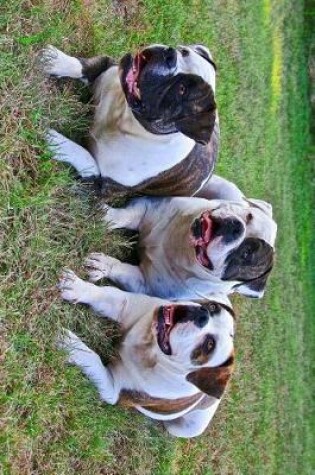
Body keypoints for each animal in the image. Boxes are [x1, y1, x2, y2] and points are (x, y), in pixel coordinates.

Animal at [40, 43, 220, 198]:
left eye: (182, 90)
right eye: (184, 52)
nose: (170, 56)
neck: (125, 116)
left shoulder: (102, 188)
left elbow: (86, 157)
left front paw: (54, 140)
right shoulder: (107, 66)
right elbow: (83, 66)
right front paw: (54, 60)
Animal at [57, 272, 235, 438]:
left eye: (209, 345)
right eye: (213, 307)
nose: (203, 315)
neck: (150, 346)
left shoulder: (112, 388)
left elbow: (93, 360)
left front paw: (70, 344)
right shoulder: (125, 303)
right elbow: (100, 293)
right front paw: (75, 286)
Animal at [85, 177, 278, 300]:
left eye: (245, 255)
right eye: (249, 216)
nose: (236, 227)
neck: (181, 246)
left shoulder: (143, 283)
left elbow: (122, 269)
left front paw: (103, 266)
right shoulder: (147, 207)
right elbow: (124, 216)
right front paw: (107, 216)